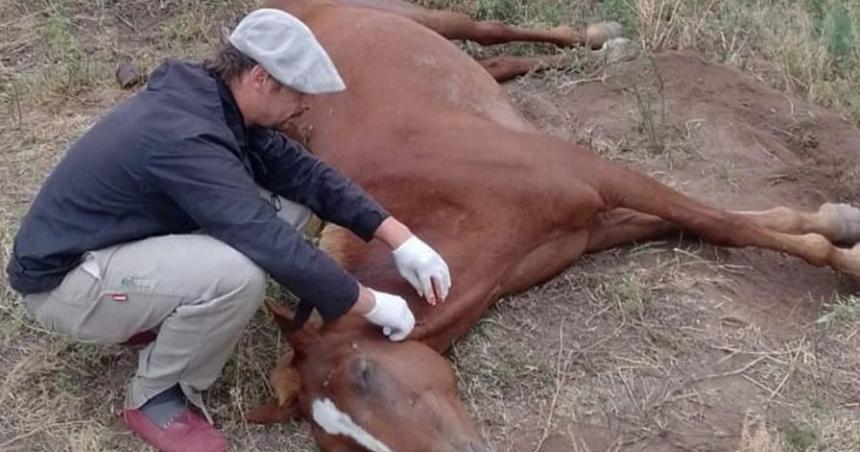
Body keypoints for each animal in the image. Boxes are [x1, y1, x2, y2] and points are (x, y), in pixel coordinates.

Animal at [245, 1, 860, 450]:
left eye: (366, 375)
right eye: (340, 444)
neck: (447, 202)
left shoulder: (598, 177)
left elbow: (721, 222)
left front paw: (845, 250)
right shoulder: (590, 227)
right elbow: (718, 223)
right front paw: (833, 225)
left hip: (419, 15)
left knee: (490, 30)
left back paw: (605, 37)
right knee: (503, 65)